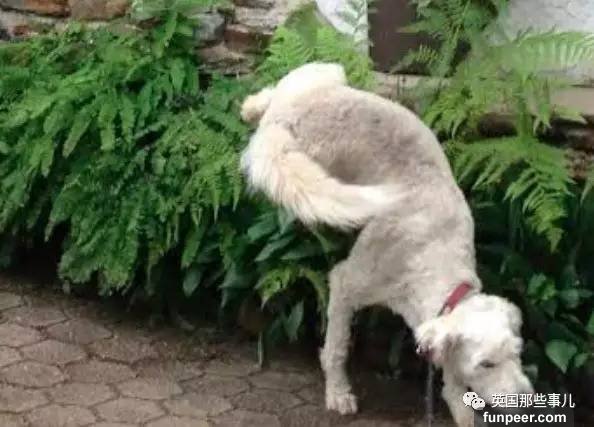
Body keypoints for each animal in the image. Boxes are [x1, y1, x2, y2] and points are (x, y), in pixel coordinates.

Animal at [239, 63, 534, 426]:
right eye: (486, 364)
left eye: (517, 354)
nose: (527, 400)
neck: (436, 254)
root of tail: (285, 115)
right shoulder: (346, 283)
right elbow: (337, 347)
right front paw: (338, 393)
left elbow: (454, 387)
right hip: (298, 163)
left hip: (322, 75)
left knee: (270, 92)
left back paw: (250, 106)